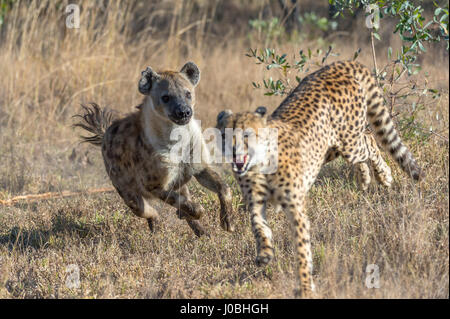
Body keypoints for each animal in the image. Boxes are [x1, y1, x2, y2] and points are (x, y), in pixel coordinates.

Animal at [74, 62, 234, 238]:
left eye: (188, 94)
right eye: (166, 97)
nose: (184, 112)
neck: (178, 138)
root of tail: (105, 135)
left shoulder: (199, 166)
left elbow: (224, 188)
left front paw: (228, 222)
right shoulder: (152, 184)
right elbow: (183, 203)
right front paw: (196, 211)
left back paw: (202, 232)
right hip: (125, 188)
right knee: (144, 209)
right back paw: (158, 224)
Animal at [216, 59, 424, 298]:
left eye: (247, 134)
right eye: (225, 135)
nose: (233, 151)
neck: (260, 163)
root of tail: (337, 65)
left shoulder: (296, 208)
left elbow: (302, 249)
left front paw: (306, 287)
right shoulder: (256, 203)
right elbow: (259, 227)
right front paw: (265, 253)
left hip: (348, 142)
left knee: (369, 140)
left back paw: (384, 175)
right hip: (329, 148)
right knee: (364, 146)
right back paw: (364, 178)